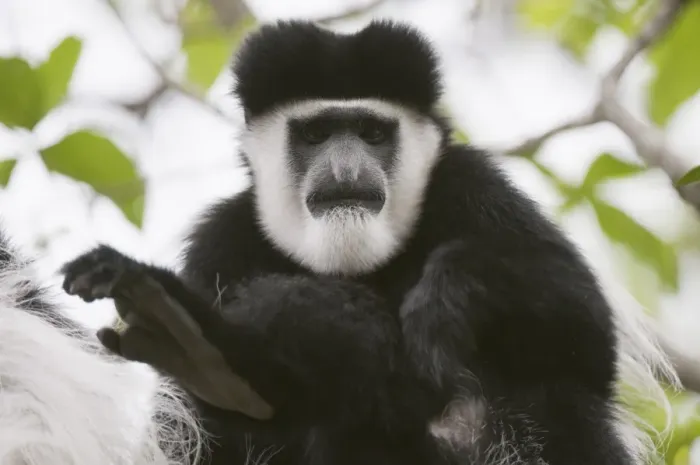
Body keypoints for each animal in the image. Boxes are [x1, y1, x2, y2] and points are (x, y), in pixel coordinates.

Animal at [59, 19, 673, 464]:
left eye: (374, 133)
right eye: (315, 134)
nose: (347, 171)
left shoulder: (475, 187)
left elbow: (587, 334)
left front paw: (446, 295)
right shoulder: (220, 243)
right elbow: (195, 436)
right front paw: (311, 319)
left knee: (557, 397)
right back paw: (209, 350)